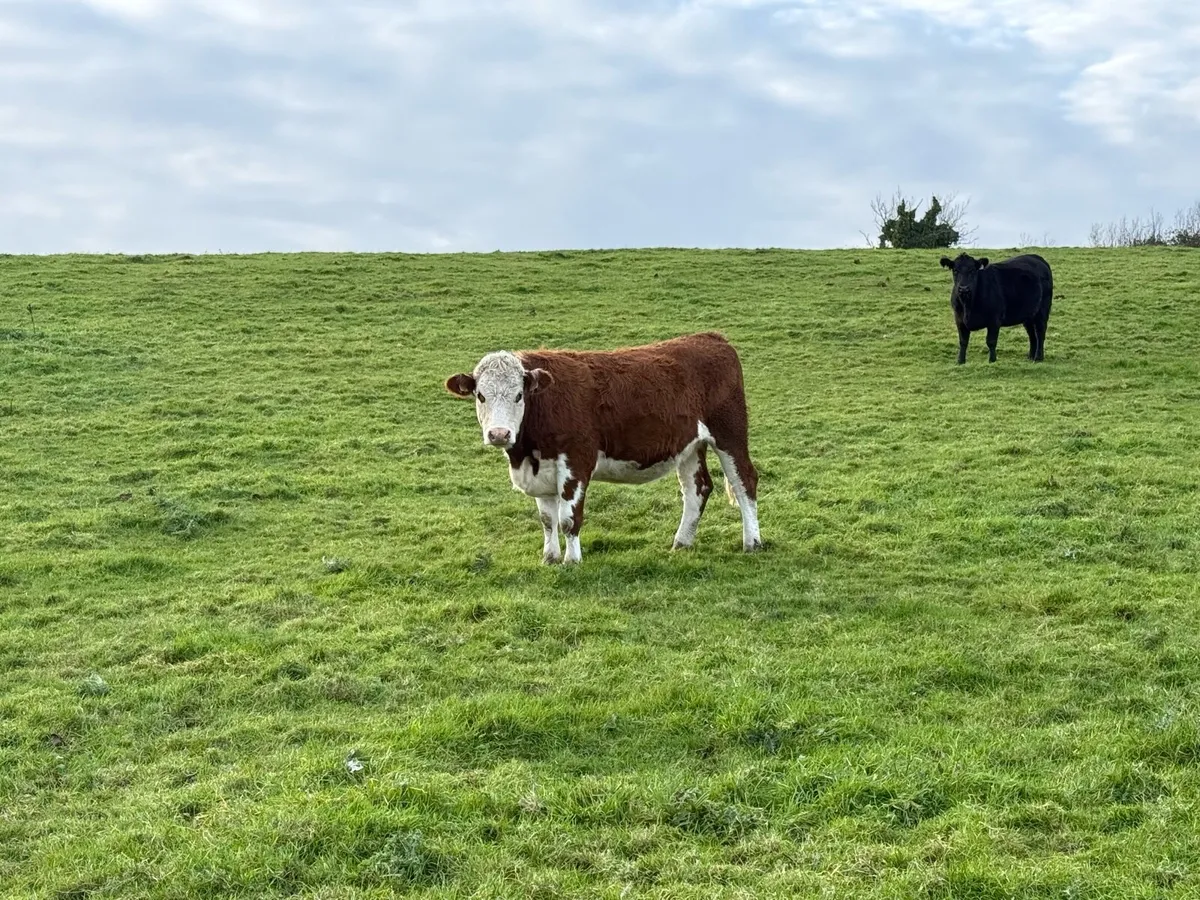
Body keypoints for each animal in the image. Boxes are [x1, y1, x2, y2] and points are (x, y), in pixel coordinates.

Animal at [444, 332, 762, 565]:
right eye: (480, 395)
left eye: (519, 395)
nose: (499, 434)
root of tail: (710, 338)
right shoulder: (541, 469)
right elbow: (547, 520)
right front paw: (549, 558)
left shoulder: (576, 461)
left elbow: (568, 518)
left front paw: (572, 561)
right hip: (690, 446)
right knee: (697, 489)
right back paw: (682, 542)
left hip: (730, 434)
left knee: (744, 481)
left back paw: (753, 542)